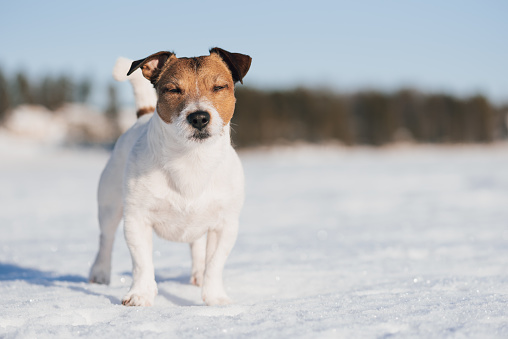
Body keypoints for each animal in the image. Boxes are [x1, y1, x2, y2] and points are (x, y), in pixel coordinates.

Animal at [90, 48, 252, 308]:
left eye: (219, 87)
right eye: (173, 89)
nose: (199, 117)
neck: (191, 161)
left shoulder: (225, 225)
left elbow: (215, 264)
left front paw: (215, 298)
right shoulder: (137, 219)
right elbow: (142, 262)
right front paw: (140, 295)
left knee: (197, 246)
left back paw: (198, 274)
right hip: (109, 204)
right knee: (105, 238)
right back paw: (100, 273)